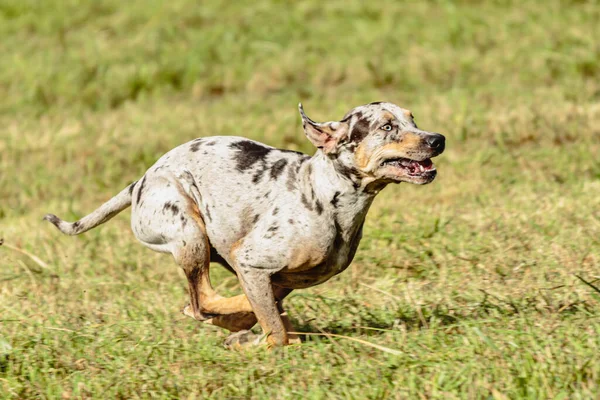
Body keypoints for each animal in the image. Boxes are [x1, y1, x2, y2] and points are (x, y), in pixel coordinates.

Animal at [43, 102, 446, 346]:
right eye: (387, 127)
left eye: (412, 119)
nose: (438, 139)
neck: (322, 193)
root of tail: (140, 181)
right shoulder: (254, 262)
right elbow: (273, 330)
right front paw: (262, 338)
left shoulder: (285, 276)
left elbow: (270, 308)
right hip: (190, 234)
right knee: (202, 299)